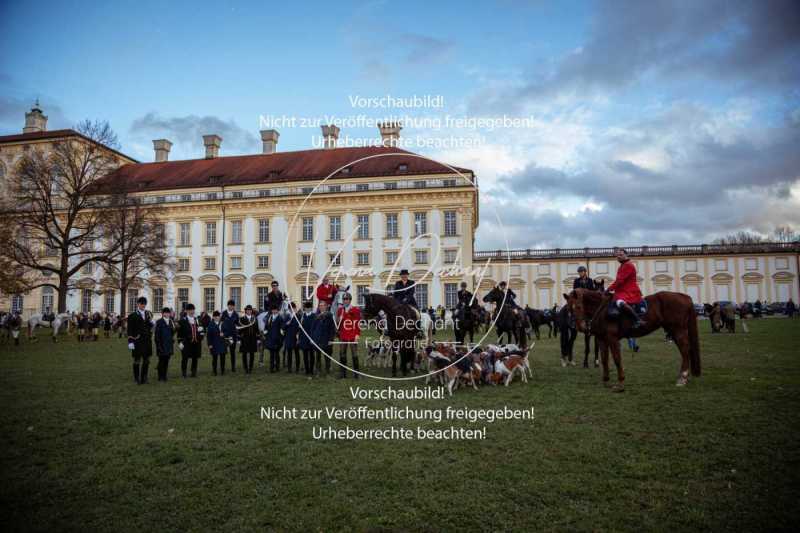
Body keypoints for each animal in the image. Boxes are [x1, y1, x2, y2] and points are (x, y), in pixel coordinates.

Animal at [564, 286, 700, 390]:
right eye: (568, 308)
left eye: (578, 307)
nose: (579, 327)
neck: (602, 310)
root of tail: (684, 297)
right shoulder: (602, 340)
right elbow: (604, 360)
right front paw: (606, 381)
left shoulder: (612, 339)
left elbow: (617, 359)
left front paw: (620, 382)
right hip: (673, 330)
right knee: (685, 350)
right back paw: (683, 376)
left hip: (678, 330)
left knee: (685, 350)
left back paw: (682, 377)